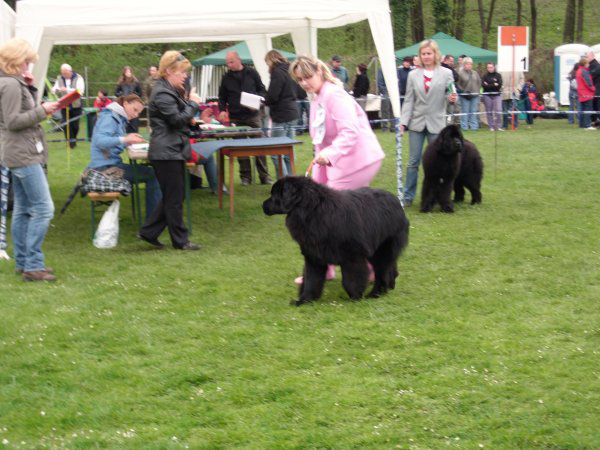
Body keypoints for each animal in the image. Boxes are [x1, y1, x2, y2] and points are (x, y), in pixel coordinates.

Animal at [262, 177, 408, 306]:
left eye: (274, 194)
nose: (263, 205)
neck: (312, 211)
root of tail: (397, 201)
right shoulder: (313, 257)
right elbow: (311, 280)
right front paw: (304, 300)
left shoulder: (352, 257)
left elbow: (351, 280)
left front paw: (355, 297)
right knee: (390, 267)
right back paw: (390, 286)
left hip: (382, 250)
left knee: (382, 272)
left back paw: (376, 293)